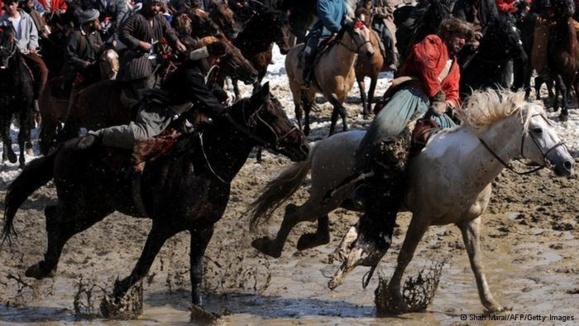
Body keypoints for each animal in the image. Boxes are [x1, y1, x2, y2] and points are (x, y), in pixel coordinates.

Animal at [2, 82, 310, 316]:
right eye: (271, 114)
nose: (304, 146)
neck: (203, 165)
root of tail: (65, 148)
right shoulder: (162, 226)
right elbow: (142, 266)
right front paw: (114, 299)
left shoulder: (203, 228)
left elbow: (196, 271)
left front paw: (200, 311)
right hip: (80, 205)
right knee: (53, 218)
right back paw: (44, 267)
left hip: (96, 209)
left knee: (60, 225)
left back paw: (44, 268)